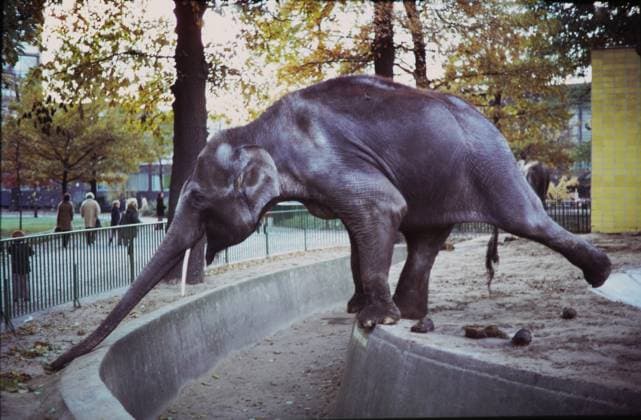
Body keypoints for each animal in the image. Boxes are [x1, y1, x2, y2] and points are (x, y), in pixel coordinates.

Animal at [49, 75, 611, 370]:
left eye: (201, 202)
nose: (54, 365)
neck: (260, 131)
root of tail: (493, 126)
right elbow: (360, 228)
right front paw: (361, 309)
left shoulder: (332, 164)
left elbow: (381, 208)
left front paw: (371, 319)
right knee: (425, 238)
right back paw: (411, 312)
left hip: (490, 167)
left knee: (526, 220)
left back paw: (601, 272)